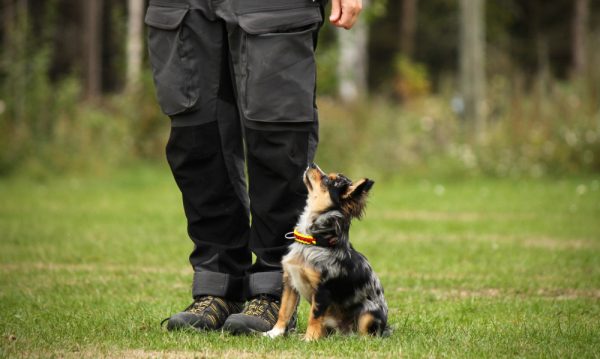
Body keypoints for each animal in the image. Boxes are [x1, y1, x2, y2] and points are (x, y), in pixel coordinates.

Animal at [266, 165, 390, 342]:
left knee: (368, 333)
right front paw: (274, 333)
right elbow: (284, 311)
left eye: (327, 181)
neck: (314, 241)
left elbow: (314, 316)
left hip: (368, 313)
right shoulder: (290, 282)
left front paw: (310, 339)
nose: (311, 164)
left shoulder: (322, 291)